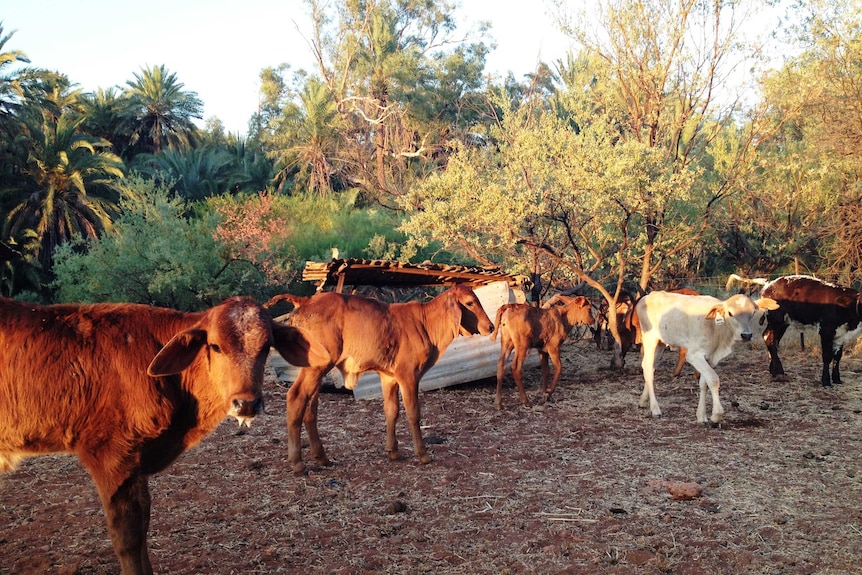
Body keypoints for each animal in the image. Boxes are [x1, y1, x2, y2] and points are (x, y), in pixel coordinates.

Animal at [0, 296, 328, 575]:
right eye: (215, 346)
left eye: (266, 346)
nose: (246, 403)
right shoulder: (109, 457)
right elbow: (128, 537)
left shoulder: (136, 464)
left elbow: (144, 523)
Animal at [276, 284, 492, 476]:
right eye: (470, 302)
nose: (490, 326)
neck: (426, 323)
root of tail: (304, 301)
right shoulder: (409, 375)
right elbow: (413, 413)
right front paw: (422, 454)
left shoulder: (389, 377)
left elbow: (391, 411)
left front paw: (393, 451)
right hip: (316, 368)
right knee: (296, 397)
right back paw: (298, 462)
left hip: (315, 371)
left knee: (310, 407)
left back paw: (321, 457)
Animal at [636, 292, 784, 424]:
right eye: (730, 313)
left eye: (752, 313)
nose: (746, 335)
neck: (716, 329)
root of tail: (648, 296)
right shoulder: (694, 355)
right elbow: (713, 379)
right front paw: (716, 416)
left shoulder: (710, 358)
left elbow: (704, 383)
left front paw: (701, 417)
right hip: (650, 339)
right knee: (648, 369)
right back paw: (655, 409)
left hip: (660, 343)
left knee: (650, 367)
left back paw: (643, 401)